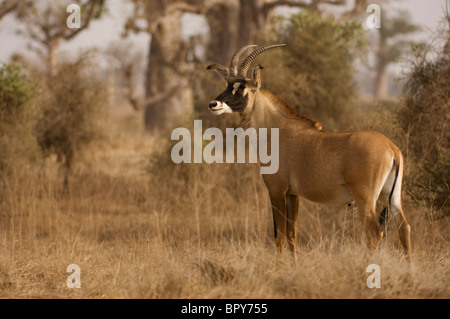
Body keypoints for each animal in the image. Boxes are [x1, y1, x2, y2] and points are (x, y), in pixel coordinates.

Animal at [207, 44, 412, 262]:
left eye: (242, 87)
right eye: (228, 84)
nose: (214, 104)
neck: (275, 127)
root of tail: (391, 148)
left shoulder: (276, 190)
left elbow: (279, 234)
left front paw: (280, 266)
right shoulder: (293, 194)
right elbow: (292, 234)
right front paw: (294, 265)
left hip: (366, 198)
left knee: (374, 233)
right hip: (392, 196)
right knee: (404, 228)